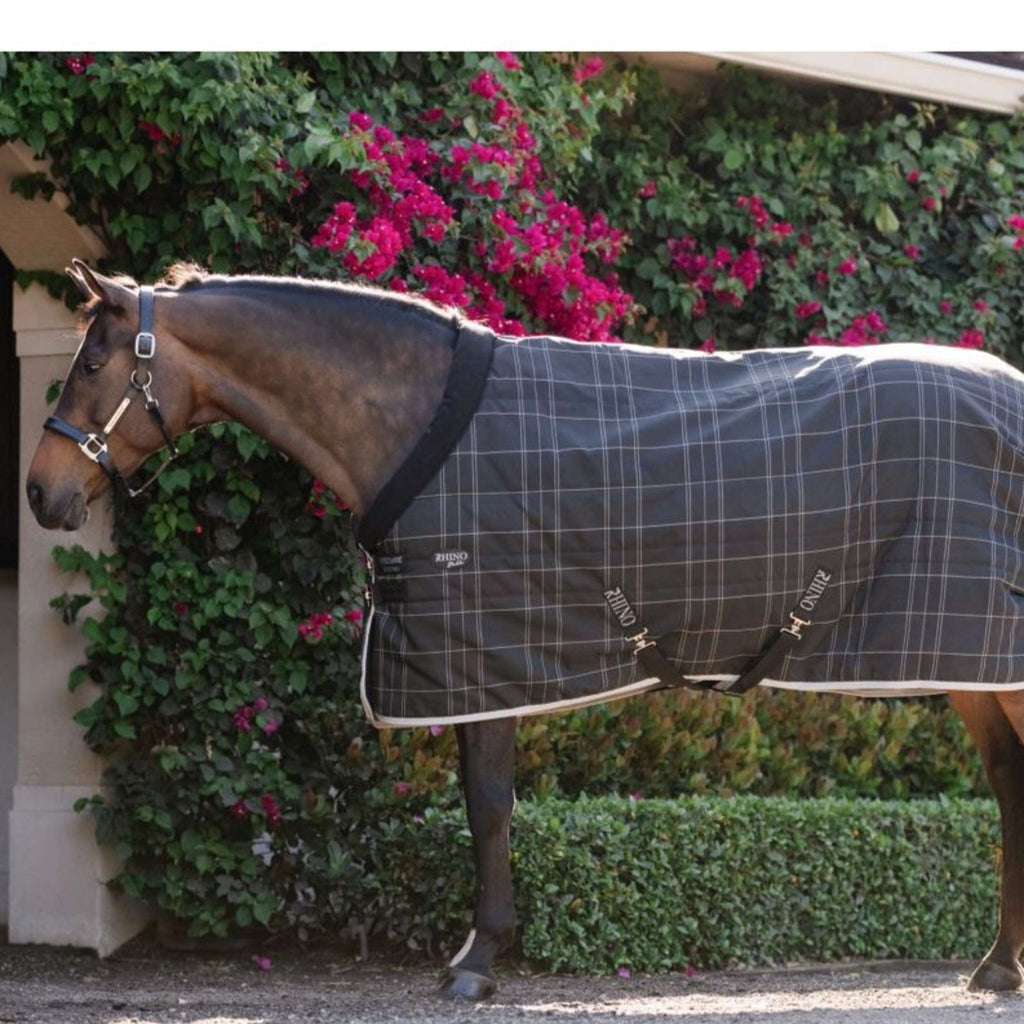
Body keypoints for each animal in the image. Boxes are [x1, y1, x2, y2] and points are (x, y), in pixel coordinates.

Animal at [24, 259, 1024, 999]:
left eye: (90, 364)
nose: (41, 493)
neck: (418, 420)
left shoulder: (480, 653)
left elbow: (488, 806)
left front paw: (475, 962)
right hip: (972, 663)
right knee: (1008, 785)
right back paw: (996, 965)